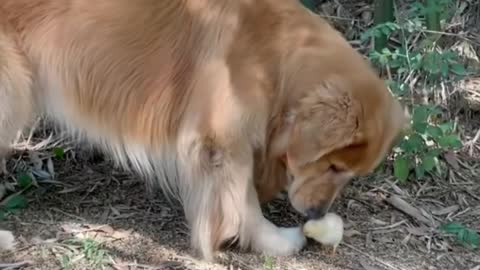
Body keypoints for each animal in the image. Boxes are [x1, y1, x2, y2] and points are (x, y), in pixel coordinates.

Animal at [0, 1, 406, 260]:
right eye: (333, 166)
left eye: (348, 173)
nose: (317, 213)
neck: (275, 56)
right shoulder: (221, 140)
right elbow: (242, 199)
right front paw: (273, 241)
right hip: (11, 92)